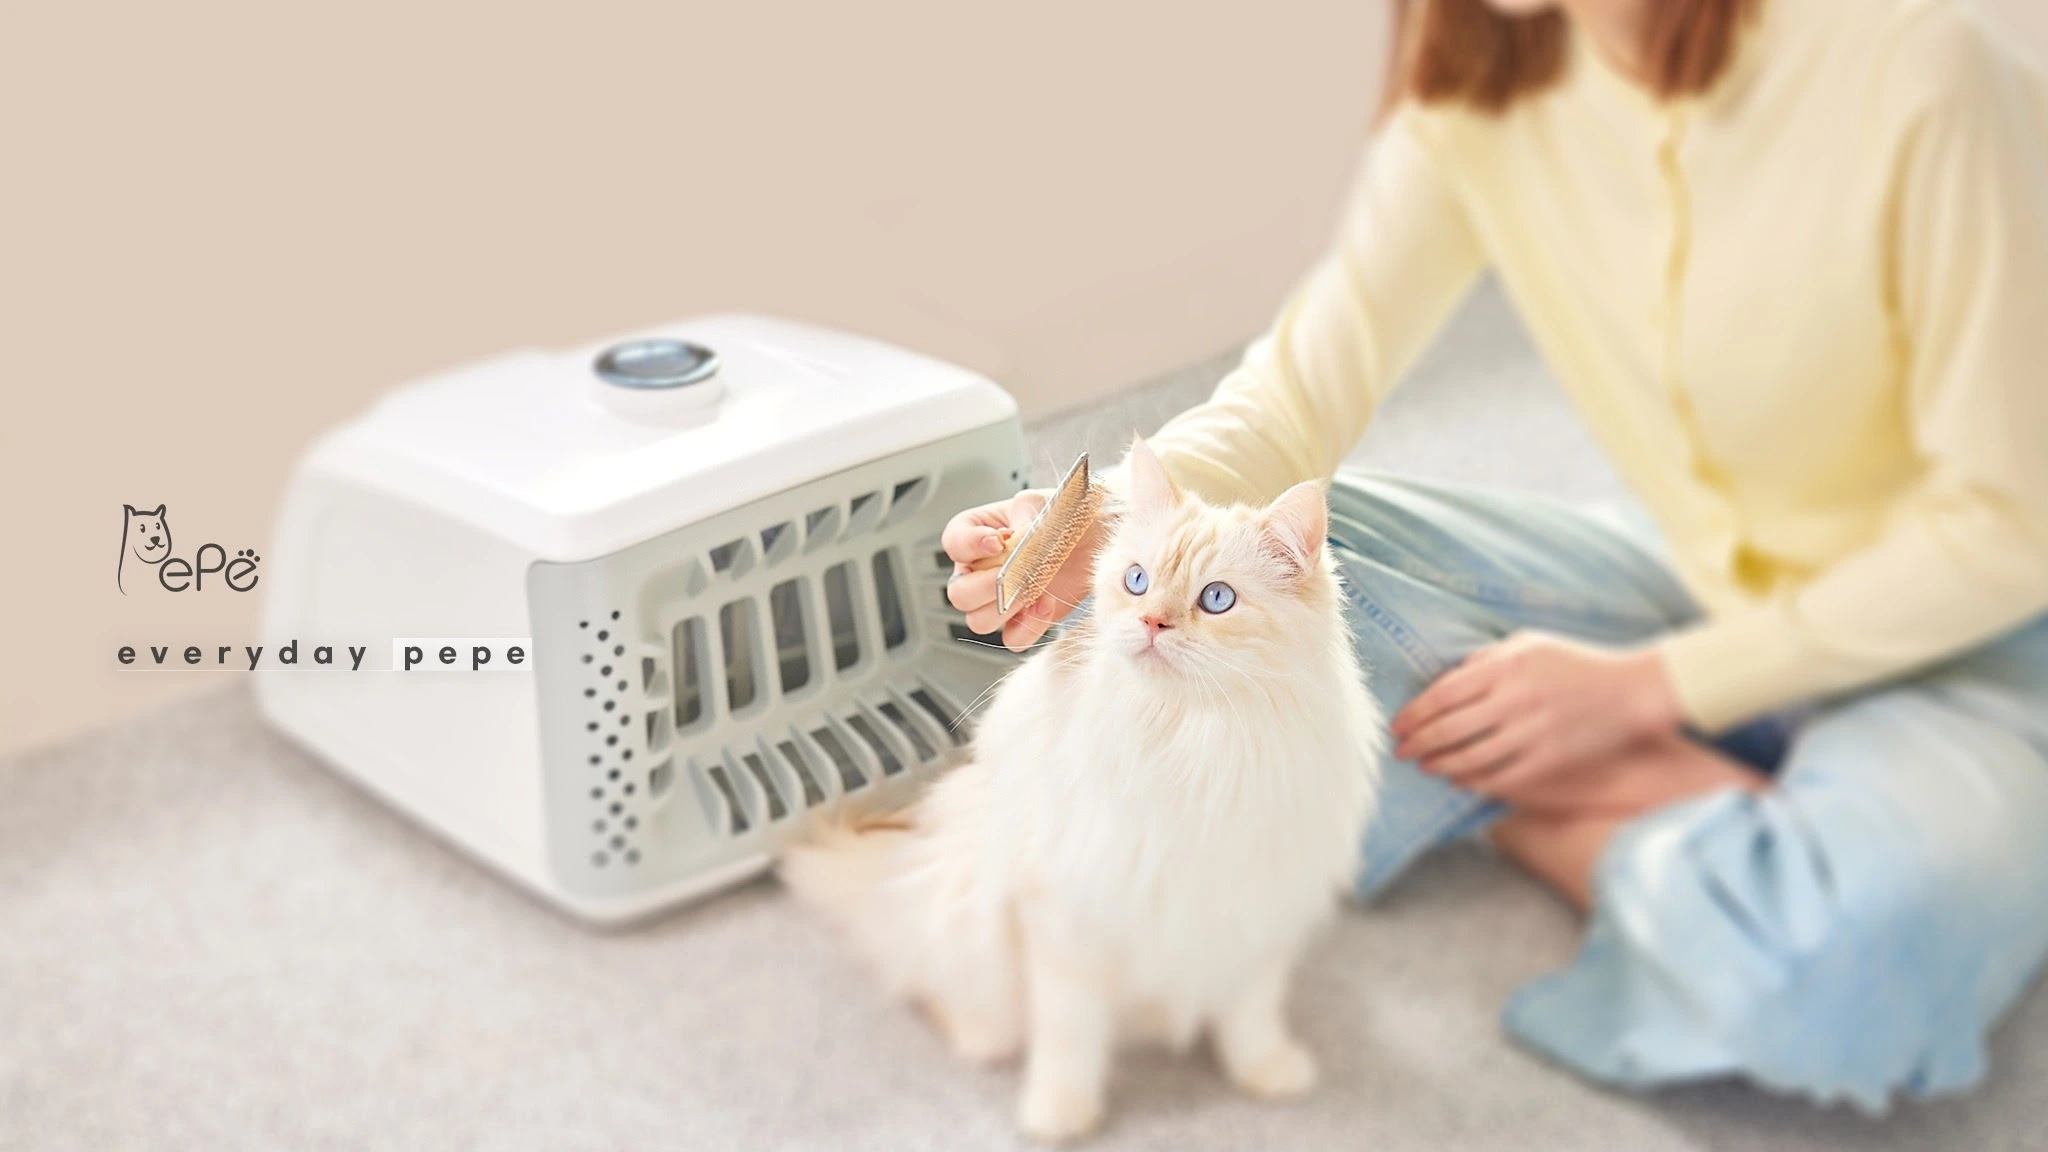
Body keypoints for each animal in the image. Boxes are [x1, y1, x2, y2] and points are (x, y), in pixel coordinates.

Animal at [781, 437, 1382, 1143]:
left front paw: (1268, 1072)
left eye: (1216, 599)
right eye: (1136, 581)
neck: (1187, 741)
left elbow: (1250, 1014)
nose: (1150, 622)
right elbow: (1069, 1036)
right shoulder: (1068, 919)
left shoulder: (1252, 912)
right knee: (946, 999)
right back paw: (976, 1040)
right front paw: (1058, 1117)